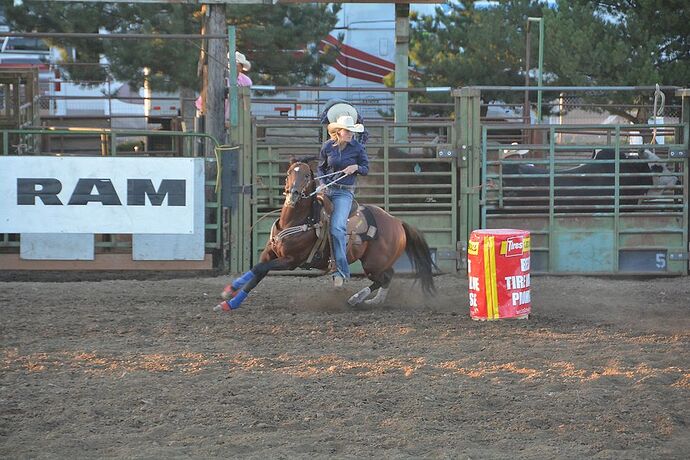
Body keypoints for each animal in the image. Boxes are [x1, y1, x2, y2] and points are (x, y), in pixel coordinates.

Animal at [214, 156, 436, 310]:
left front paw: (228, 296)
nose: (293, 195)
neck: (297, 221)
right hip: (377, 263)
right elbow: (256, 272)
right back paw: (373, 301)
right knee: (387, 276)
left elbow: (259, 269)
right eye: (289, 173)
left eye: (306, 175)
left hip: (372, 263)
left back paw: (355, 299)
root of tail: (397, 222)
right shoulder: (270, 253)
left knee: (384, 278)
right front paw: (229, 297)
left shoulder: (291, 260)